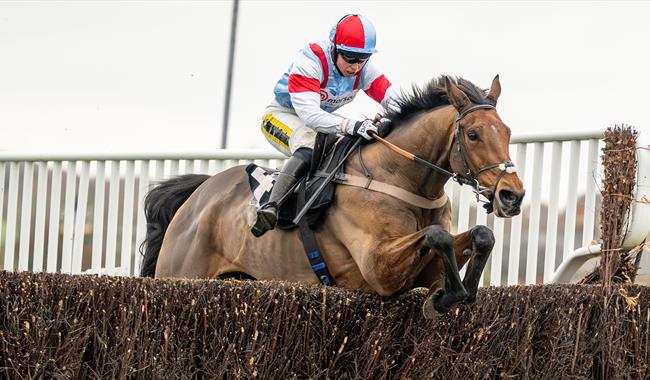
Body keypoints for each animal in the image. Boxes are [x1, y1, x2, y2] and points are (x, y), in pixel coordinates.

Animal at [139, 75, 524, 318]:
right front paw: (448, 297)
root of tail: (197, 196)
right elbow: (436, 235)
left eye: (507, 131)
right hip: (181, 274)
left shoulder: (422, 271)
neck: (399, 176)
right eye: (473, 134)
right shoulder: (379, 270)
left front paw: (457, 294)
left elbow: (481, 235)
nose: (512, 195)